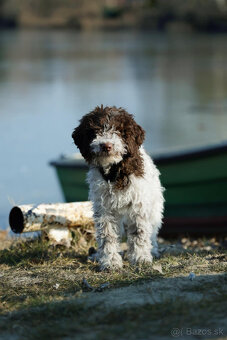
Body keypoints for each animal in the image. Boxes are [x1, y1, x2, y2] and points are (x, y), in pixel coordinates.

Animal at [72, 105, 163, 270]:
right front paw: (110, 262)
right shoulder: (104, 208)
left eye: (119, 131)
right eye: (96, 130)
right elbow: (107, 236)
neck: (114, 171)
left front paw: (141, 258)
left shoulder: (138, 205)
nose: (106, 145)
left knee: (152, 231)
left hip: (154, 208)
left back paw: (153, 250)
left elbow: (139, 233)